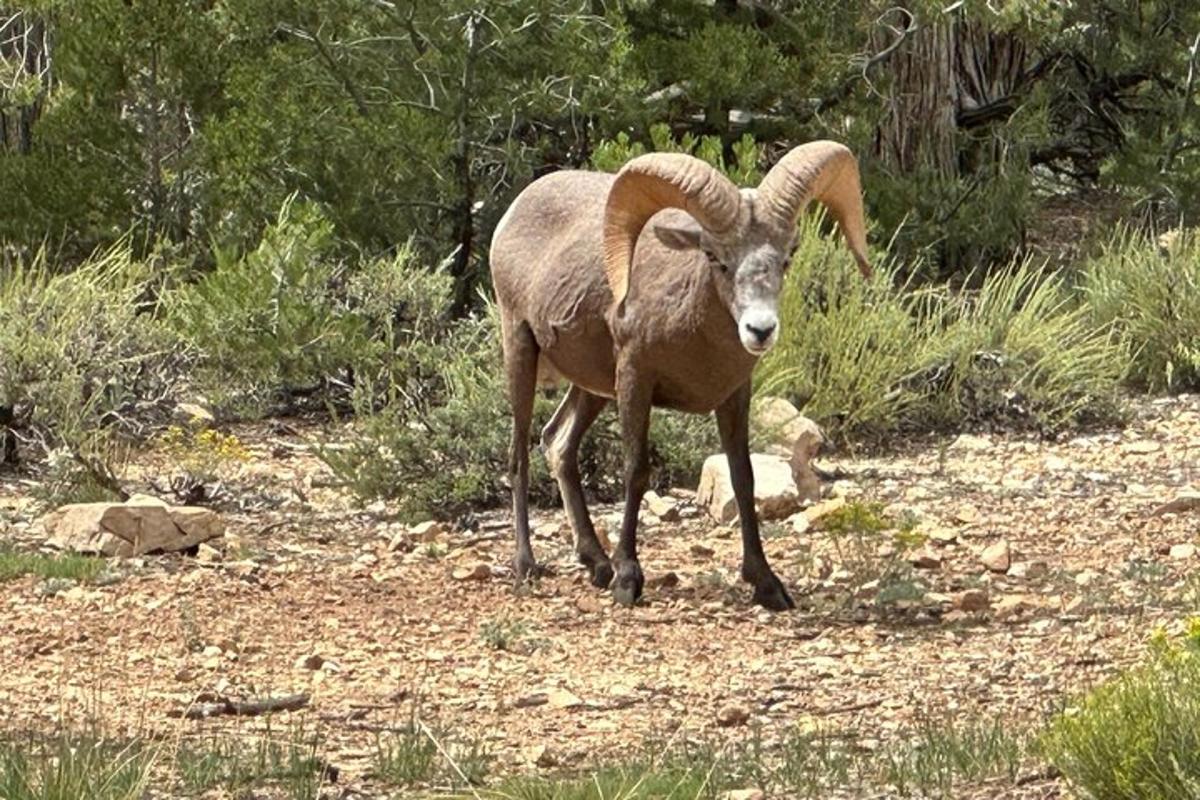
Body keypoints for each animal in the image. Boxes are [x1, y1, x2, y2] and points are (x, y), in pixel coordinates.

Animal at [487, 140, 873, 609]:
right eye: (715, 259)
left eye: (787, 258)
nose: (760, 330)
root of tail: (513, 214)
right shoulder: (634, 379)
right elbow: (636, 471)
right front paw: (628, 580)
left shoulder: (734, 394)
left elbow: (743, 477)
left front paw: (767, 585)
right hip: (521, 352)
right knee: (519, 456)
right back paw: (528, 567)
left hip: (592, 388)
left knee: (558, 443)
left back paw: (596, 563)